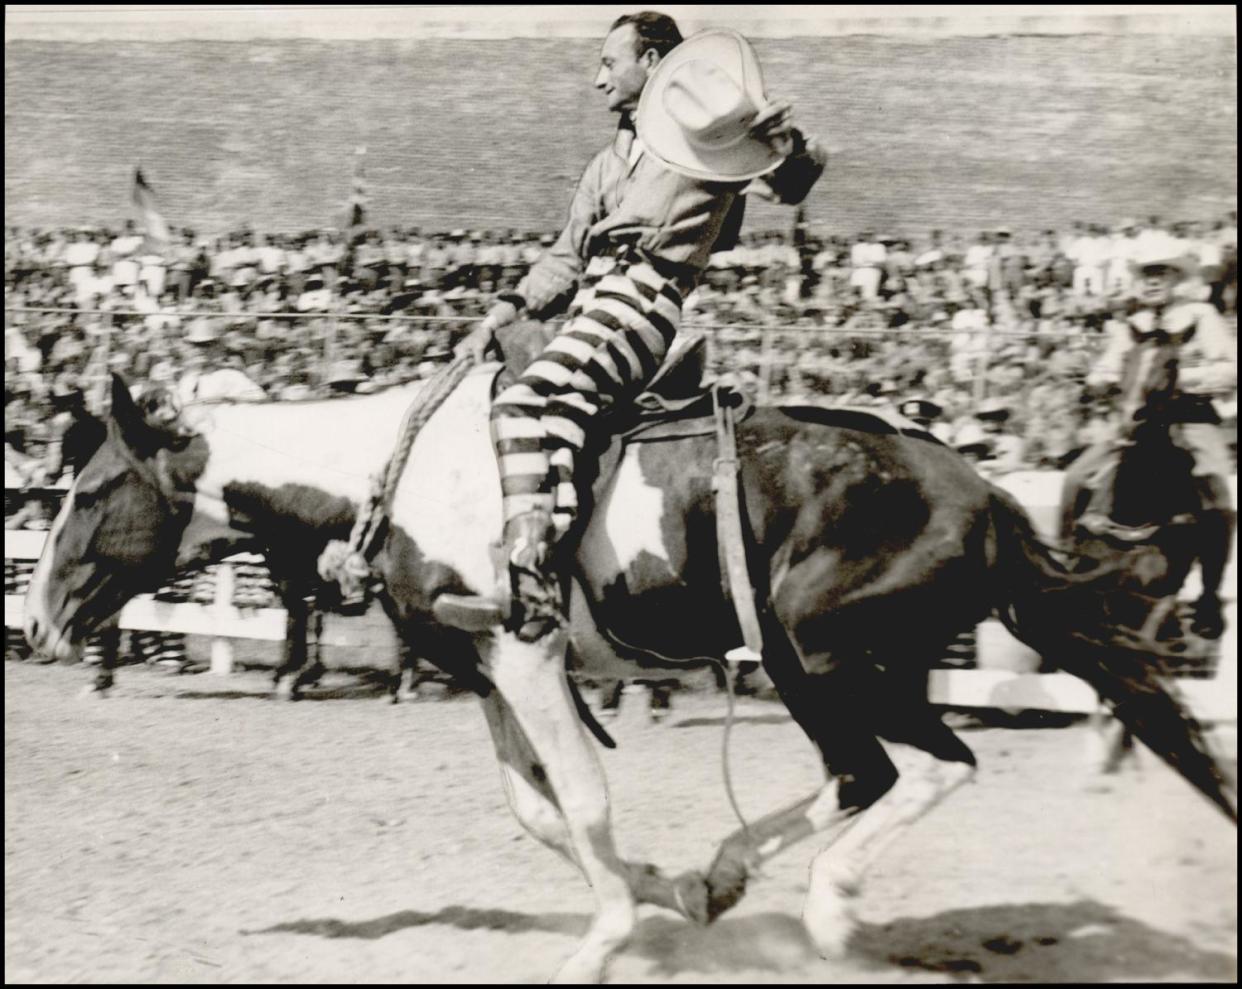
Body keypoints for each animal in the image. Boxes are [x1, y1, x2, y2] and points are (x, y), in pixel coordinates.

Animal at [19, 360, 1232, 979]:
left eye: (90, 488)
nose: (37, 617)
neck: (393, 478)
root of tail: (984, 495)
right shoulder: (486, 669)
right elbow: (541, 811)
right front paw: (656, 889)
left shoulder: (525, 650)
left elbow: (585, 798)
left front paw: (604, 937)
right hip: (804, 663)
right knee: (865, 773)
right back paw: (724, 877)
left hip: (833, 650)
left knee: (933, 765)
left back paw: (833, 915)